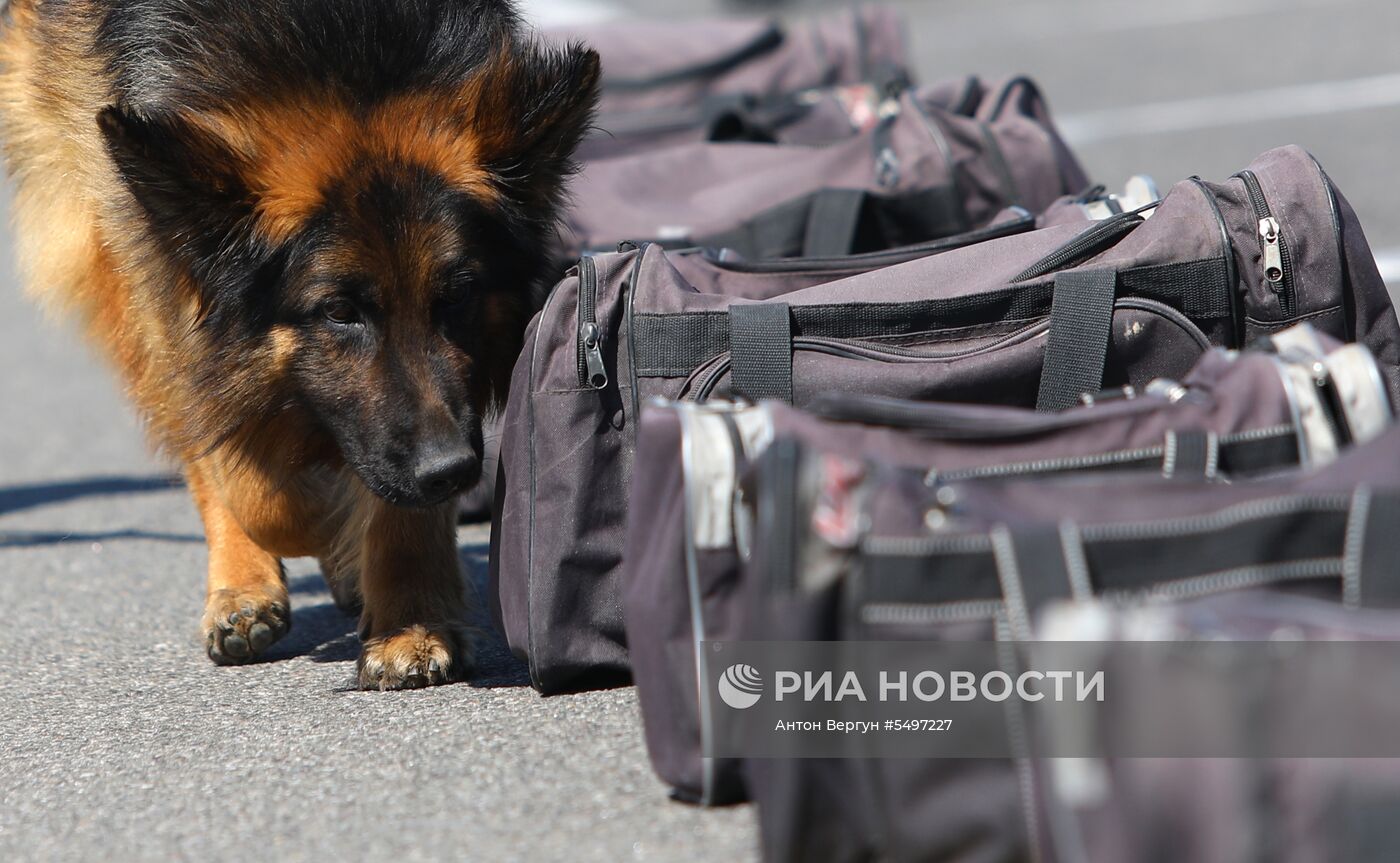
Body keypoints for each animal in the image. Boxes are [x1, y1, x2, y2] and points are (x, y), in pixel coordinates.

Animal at [0, 0, 596, 686]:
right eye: (338, 310)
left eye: (458, 295)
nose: (451, 470)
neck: (332, 46)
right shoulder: (143, 245)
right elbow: (251, 476)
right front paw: (315, 531)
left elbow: (388, 491)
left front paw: (411, 621)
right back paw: (247, 582)